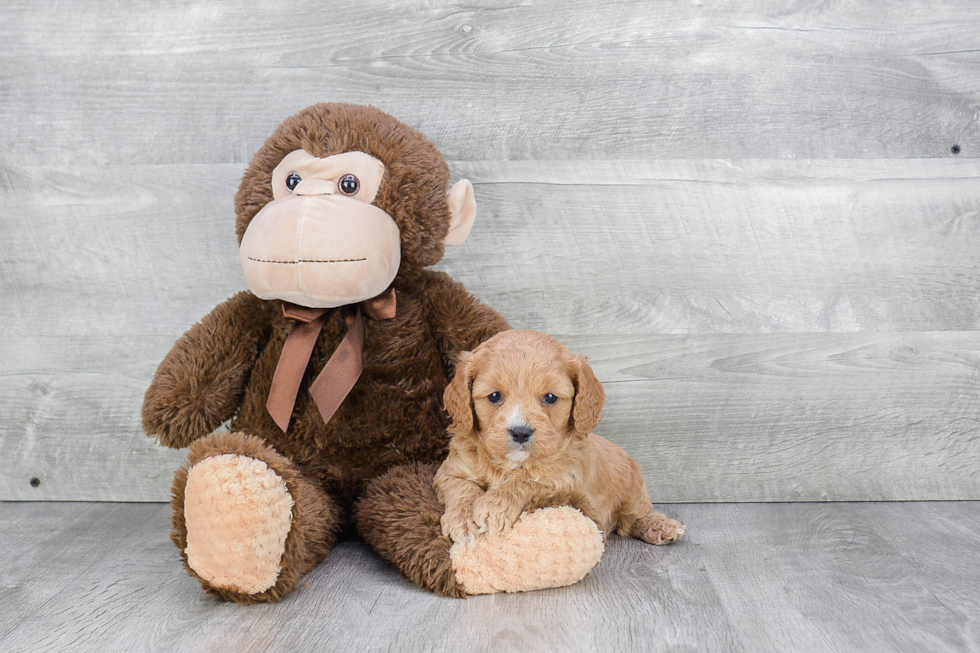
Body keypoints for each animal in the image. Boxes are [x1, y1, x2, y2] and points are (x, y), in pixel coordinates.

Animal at [432, 332, 684, 544]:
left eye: (550, 397)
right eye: (494, 396)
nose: (520, 432)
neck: (514, 464)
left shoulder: (565, 480)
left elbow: (529, 482)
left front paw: (494, 505)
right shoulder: (450, 471)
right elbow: (462, 487)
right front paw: (462, 520)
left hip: (632, 491)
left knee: (635, 517)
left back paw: (662, 527)